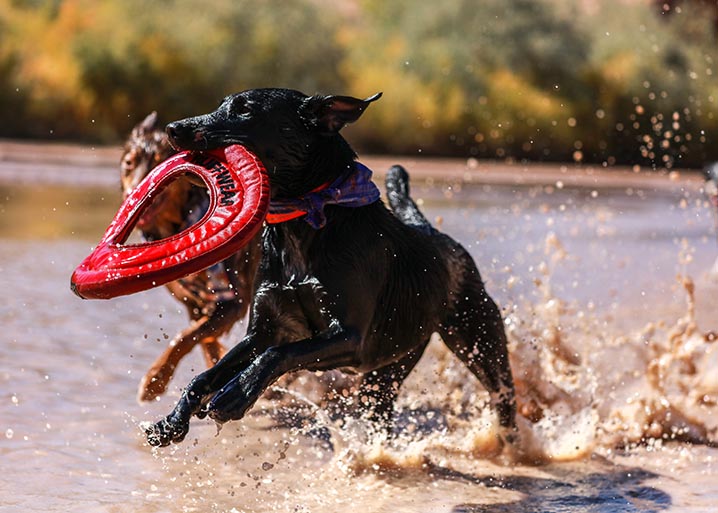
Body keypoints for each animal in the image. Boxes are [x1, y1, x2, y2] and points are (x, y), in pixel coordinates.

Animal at [120, 111, 262, 400]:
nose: (133, 195)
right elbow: (203, 339)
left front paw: (155, 380)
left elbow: (186, 337)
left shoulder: (234, 300)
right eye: (129, 163)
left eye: (159, 162)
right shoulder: (193, 304)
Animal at [145, 89, 516, 448]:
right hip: (390, 367)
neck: (303, 224)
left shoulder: (348, 337)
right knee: (380, 412)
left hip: (480, 341)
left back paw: (510, 445)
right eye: (222, 103)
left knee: (503, 396)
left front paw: (236, 394)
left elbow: (278, 354)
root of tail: (432, 232)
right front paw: (171, 422)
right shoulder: (263, 330)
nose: (173, 129)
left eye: (245, 109)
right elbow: (207, 374)